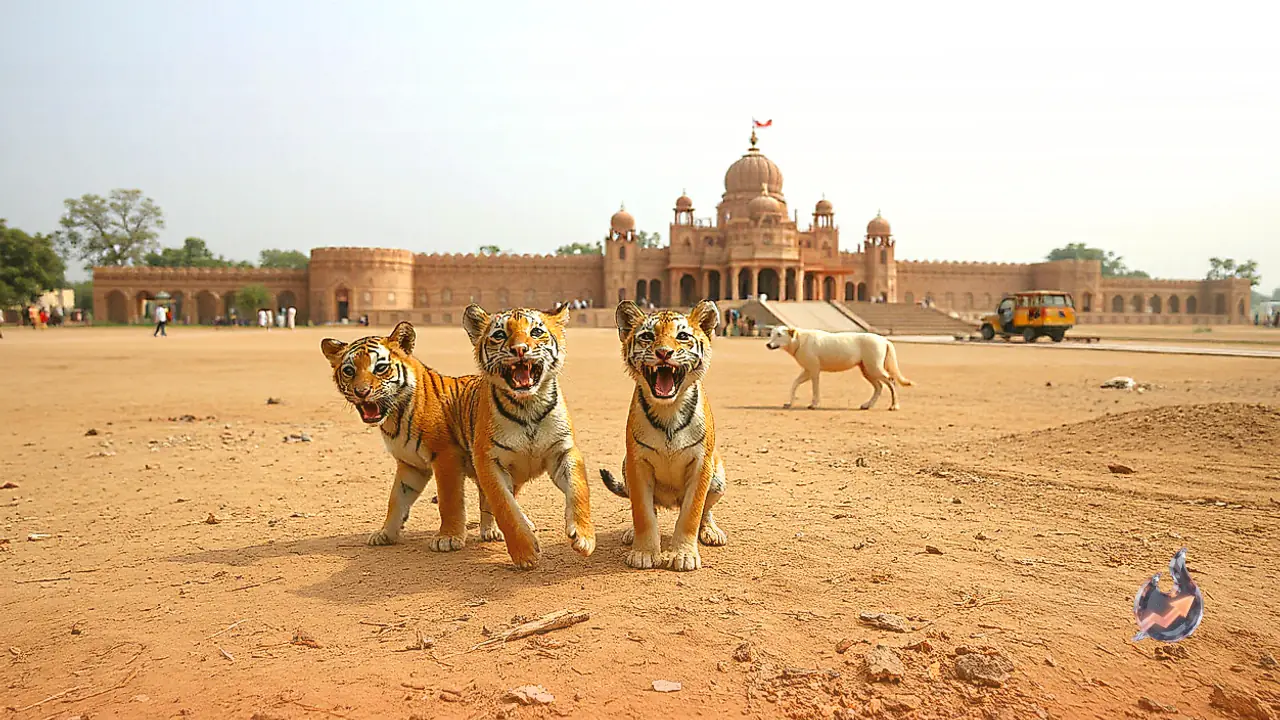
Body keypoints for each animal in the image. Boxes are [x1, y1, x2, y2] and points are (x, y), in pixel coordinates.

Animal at [320, 322, 507, 552]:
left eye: (380, 368)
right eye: (348, 370)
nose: (361, 392)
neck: (394, 418)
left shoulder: (446, 457)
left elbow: (449, 500)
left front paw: (448, 538)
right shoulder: (410, 464)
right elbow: (396, 500)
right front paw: (385, 534)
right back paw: (490, 531)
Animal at [460, 302, 595, 569]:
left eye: (536, 332)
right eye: (500, 334)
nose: (520, 349)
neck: (528, 407)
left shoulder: (563, 450)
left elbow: (579, 488)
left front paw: (584, 537)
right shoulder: (489, 461)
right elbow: (504, 507)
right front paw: (525, 553)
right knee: (489, 502)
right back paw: (492, 531)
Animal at [599, 299, 727, 572]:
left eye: (682, 336)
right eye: (647, 336)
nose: (663, 353)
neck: (669, 410)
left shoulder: (701, 465)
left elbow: (691, 514)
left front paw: (684, 555)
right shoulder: (637, 463)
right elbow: (643, 513)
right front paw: (644, 553)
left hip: (718, 475)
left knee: (706, 511)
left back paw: (711, 532)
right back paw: (630, 534)